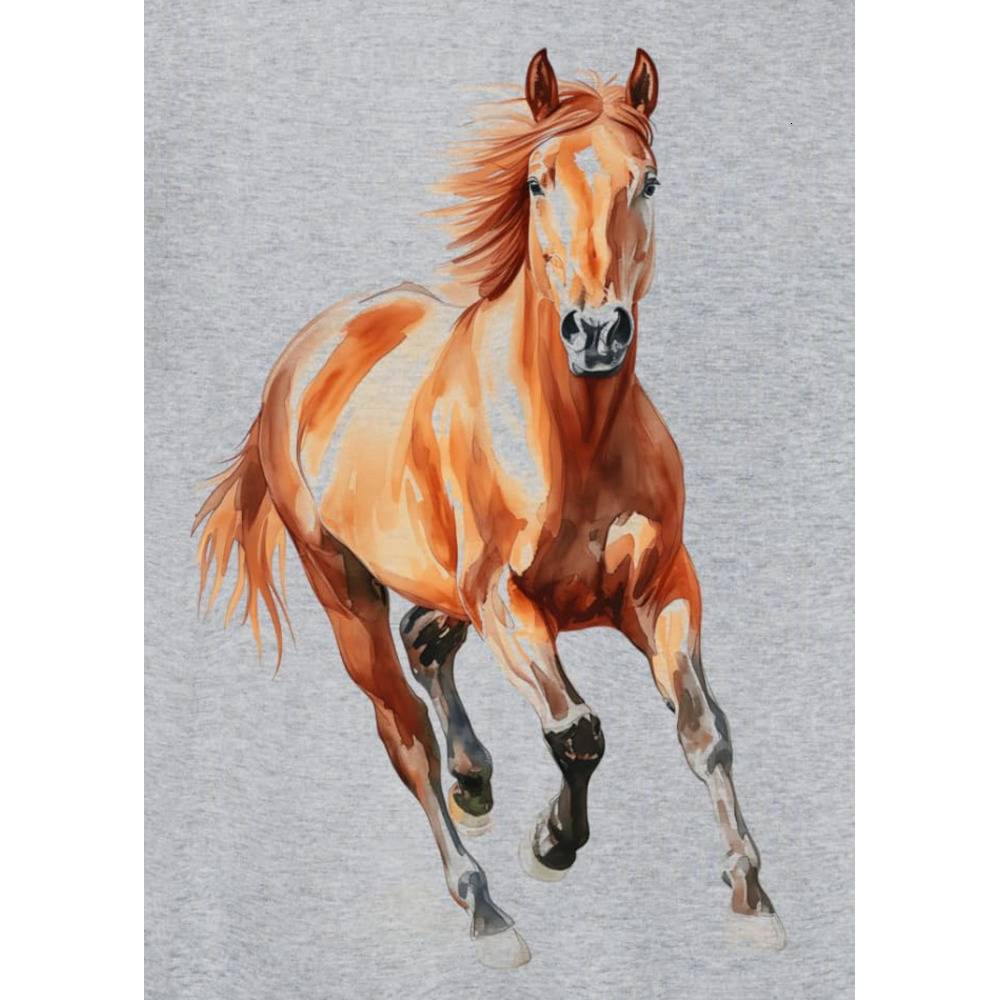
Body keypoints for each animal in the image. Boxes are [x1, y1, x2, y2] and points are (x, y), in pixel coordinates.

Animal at [193, 48, 786, 968]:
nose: (596, 332)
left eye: (649, 180)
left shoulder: (662, 591)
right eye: (539, 181)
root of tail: (307, 353)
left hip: (436, 583)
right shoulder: (508, 602)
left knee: (425, 640)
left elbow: (704, 732)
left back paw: (475, 779)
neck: (574, 438)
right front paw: (552, 844)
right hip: (344, 588)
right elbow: (578, 731)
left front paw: (752, 898)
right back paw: (484, 904)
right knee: (403, 731)